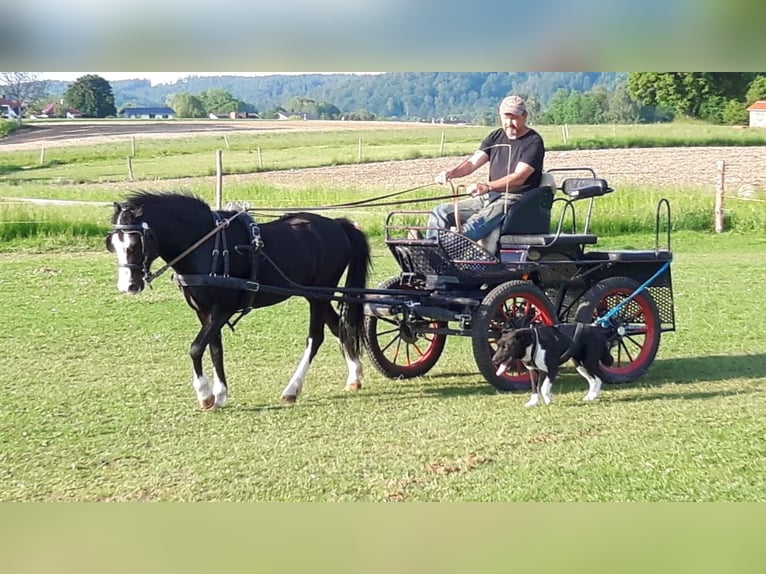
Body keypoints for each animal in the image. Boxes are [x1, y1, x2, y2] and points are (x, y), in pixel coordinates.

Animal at [106, 191, 372, 410]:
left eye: (135, 243)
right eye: (113, 244)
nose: (128, 286)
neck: (207, 246)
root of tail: (337, 224)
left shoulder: (222, 310)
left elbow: (196, 348)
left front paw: (205, 395)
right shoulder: (204, 312)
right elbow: (215, 349)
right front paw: (220, 394)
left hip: (317, 296)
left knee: (315, 338)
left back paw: (292, 389)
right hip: (316, 293)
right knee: (339, 326)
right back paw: (354, 376)